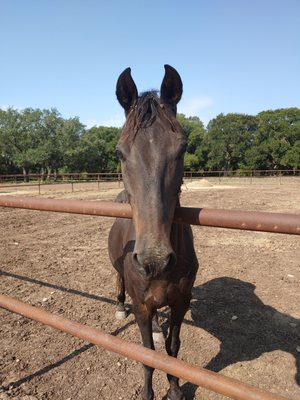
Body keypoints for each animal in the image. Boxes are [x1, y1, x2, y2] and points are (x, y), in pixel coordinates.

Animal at [108, 65, 199, 400]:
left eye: (182, 148)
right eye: (120, 153)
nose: (154, 260)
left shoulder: (180, 302)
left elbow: (172, 350)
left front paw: (175, 389)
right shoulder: (141, 308)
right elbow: (147, 356)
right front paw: (148, 393)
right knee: (119, 280)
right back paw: (118, 306)